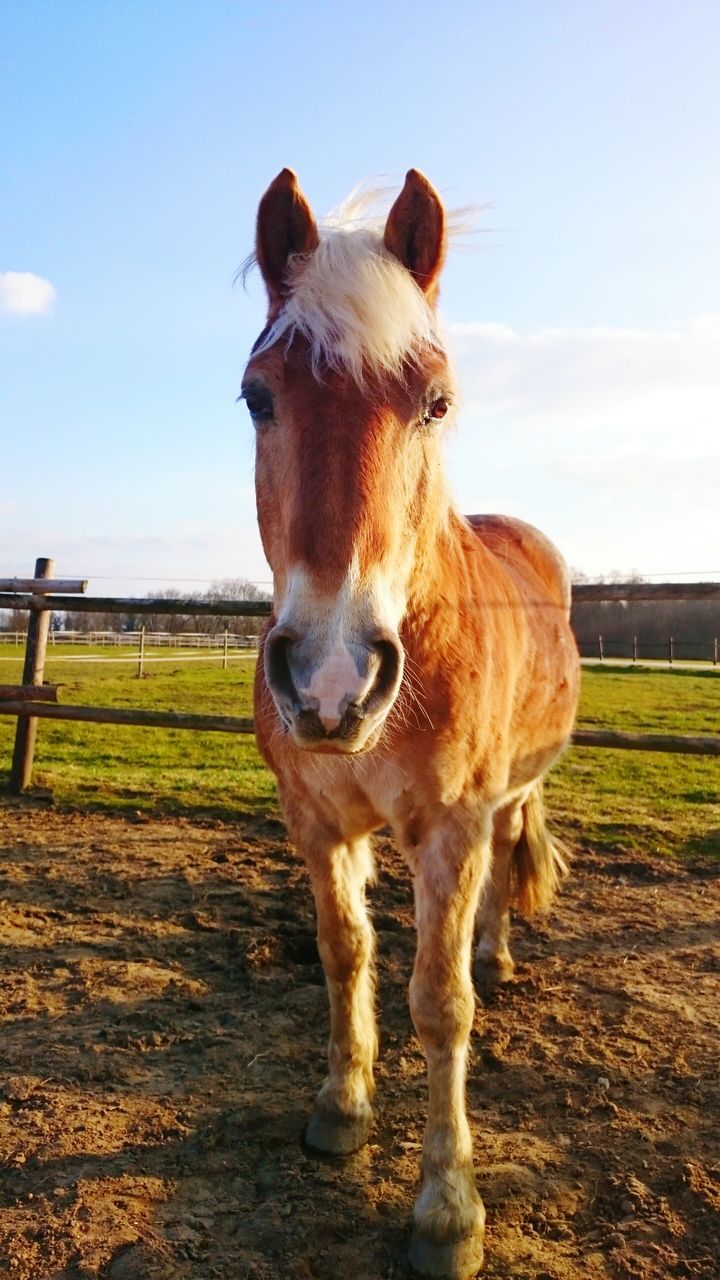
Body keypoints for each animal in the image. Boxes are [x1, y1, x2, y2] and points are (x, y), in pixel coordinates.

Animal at [240, 170, 576, 1280]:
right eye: (259, 396)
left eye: (436, 400)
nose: (332, 677)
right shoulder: (315, 820)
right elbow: (344, 950)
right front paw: (342, 1108)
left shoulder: (450, 828)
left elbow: (440, 1001)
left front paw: (447, 1209)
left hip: (509, 793)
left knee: (506, 865)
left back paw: (498, 954)